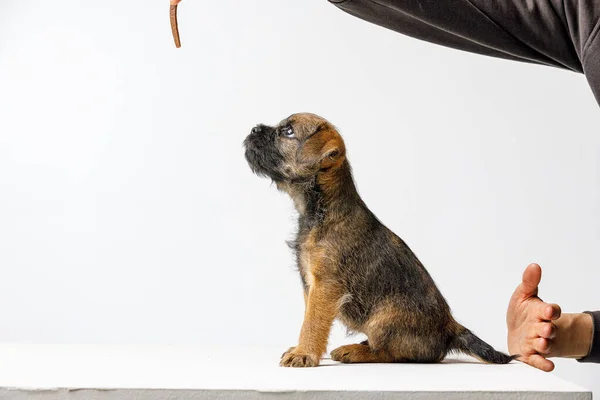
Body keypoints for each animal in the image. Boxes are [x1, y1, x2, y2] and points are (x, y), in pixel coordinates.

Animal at [244, 113, 516, 368]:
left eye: (288, 131)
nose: (254, 129)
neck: (320, 211)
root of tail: (451, 327)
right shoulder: (310, 285)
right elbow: (308, 316)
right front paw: (301, 349)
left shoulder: (325, 285)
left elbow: (313, 321)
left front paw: (304, 353)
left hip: (381, 319)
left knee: (391, 353)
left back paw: (353, 351)